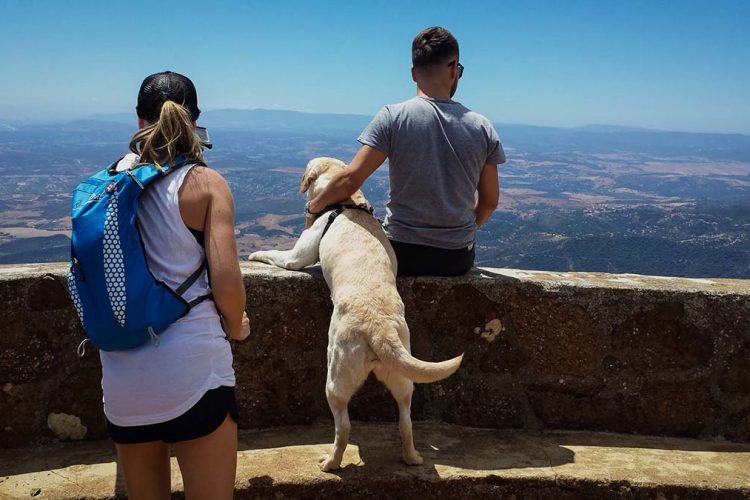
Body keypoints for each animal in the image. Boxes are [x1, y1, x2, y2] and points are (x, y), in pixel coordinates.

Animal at [250, 158, 468, 470]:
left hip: (336, 378)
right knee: (405, 422)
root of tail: (380, 329)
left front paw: (254, 255)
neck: (348, 203)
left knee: (344, 427)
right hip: (403, 379)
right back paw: (411, 457)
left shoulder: (297, 256)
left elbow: (277, 256)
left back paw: (330, 462)